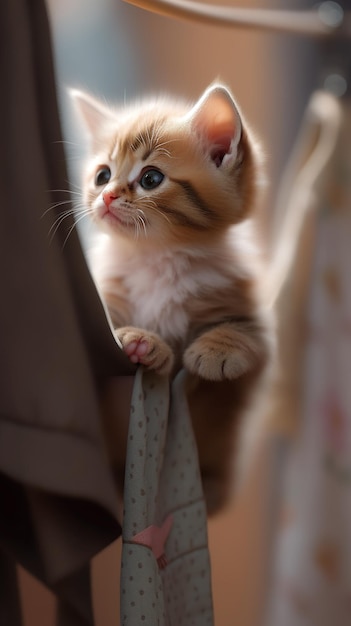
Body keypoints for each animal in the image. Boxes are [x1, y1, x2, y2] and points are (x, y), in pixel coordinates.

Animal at [71, 84, 276, 512]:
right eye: (102, 175)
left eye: (151, 178)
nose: (107, 197)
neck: (157, 259)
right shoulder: (105, 296)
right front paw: (139, 341)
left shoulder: (255, 322)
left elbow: (248, 333)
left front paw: (217, 349)